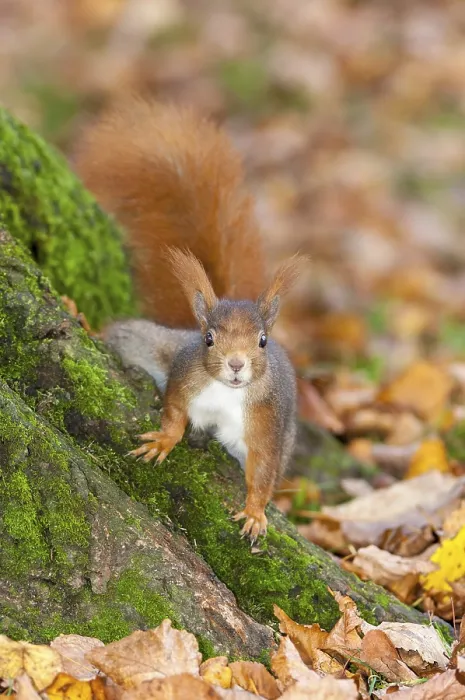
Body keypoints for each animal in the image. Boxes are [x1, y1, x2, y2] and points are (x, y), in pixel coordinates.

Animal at [74, 98, 301, 542]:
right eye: (209, 338)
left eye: (262, 340)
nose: (236, 364)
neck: (226, 394)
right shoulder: (185, 375)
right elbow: (175, 412)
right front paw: (163, 441)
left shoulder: (267, 421)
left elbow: (264, 471)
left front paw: (255, 512)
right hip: (153, 341)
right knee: (121, 334)